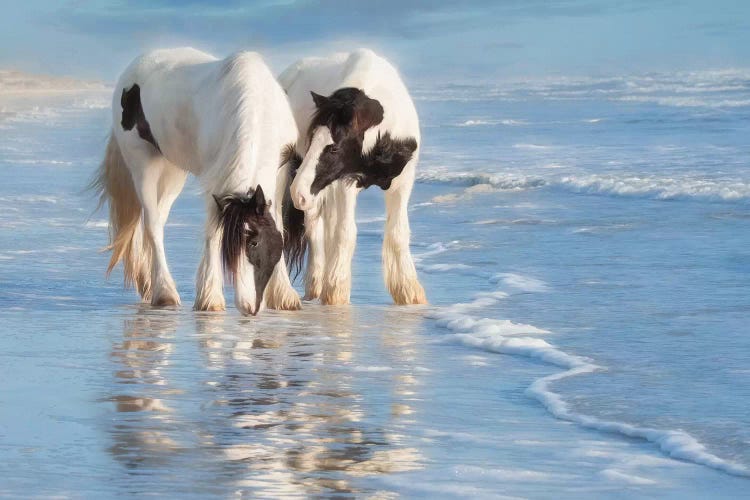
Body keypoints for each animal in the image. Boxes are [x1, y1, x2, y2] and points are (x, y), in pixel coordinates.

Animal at [93, 47, 302, 314]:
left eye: (254, 242)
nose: (248, 306)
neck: (257, 107)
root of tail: (134, 68)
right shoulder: (216, 179)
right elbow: (213, 232)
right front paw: (210, 298)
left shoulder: (279, 173)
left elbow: (278, 223)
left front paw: (285, 296)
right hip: (143, 164)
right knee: (152, 224)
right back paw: (164, 291)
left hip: (173, 172)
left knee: (158, 218)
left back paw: (150, 283)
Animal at [280, 48, 426, 304]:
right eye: (310, 140)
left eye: (334, 148)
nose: (298, 193)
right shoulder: (345, 183)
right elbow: (346, 232)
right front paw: (336, 292)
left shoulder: (402, 182)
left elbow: (398, 232)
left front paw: (409, 292)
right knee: (311, 225)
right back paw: (315, 285)